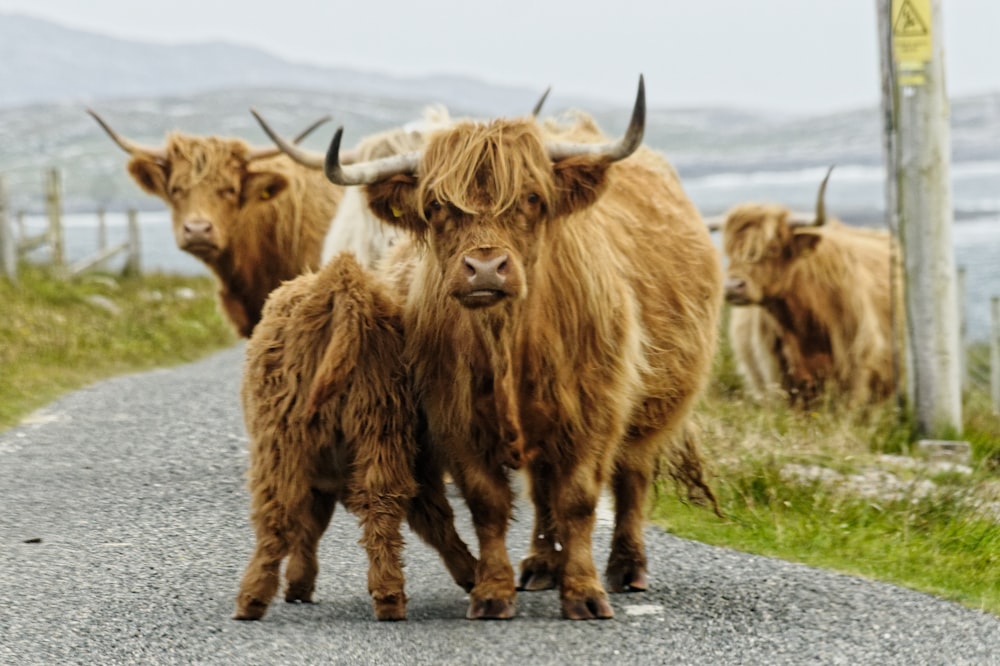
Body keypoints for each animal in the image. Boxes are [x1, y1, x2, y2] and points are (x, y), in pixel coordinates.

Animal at [238, 252, 480, 620]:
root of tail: (343, 285)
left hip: (293, 440)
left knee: (280, 511)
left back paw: (252, 599)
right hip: (378, 430)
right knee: (378, 503)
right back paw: (389, 597)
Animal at [318, 76, 720, 616]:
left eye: (531, 198)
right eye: (437, 206)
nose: (486, 268)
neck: (507, 338)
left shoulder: (593, 410)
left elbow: (579, 498)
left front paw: (585, 593)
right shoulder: (454, 416)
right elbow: (489, 503)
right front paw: (493, 592)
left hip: (651, 407)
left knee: (631, 477)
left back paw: (626, 567)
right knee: (542, 489)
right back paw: (541, 565)